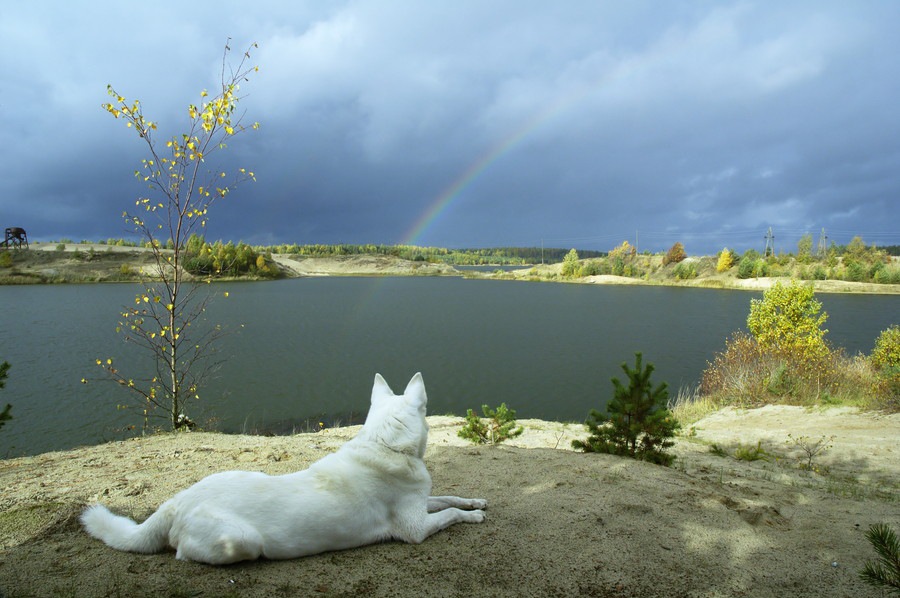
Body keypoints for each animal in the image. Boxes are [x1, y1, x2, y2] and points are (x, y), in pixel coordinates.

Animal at [79, 376, 486, 568]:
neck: (385, 445)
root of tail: (176, 502)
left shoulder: (421, 502)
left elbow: (447, 496)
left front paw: (476, 500)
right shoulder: (415, 529)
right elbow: (449, 514)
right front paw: (474, 516)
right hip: (242, 541)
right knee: (183, 553)